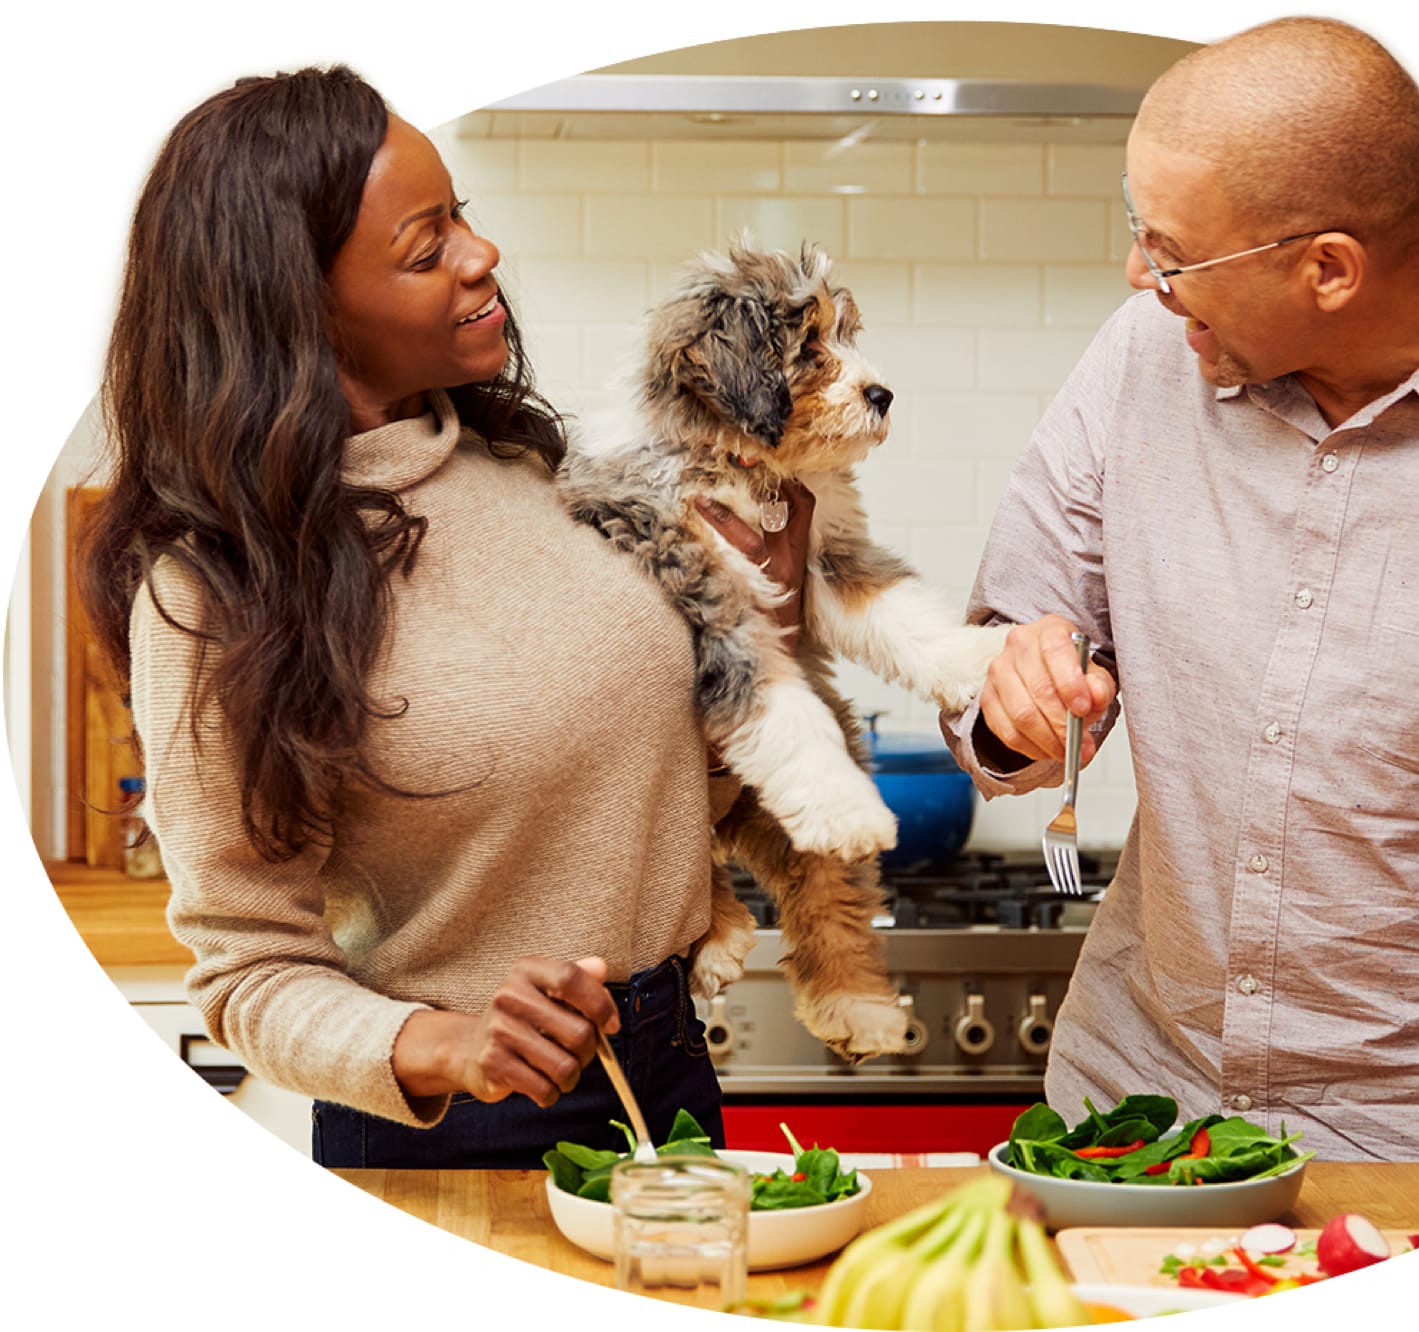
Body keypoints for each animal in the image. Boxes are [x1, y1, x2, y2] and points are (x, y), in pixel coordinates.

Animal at [553, 234, 1010, 1055]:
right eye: (809, 345)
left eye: (846, 333)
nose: (883, 394)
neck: (747, 467)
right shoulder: (712, 598)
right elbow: (782, 709)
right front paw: (845, 805)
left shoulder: (830, 555)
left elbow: (901, 613)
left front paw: (974, 657)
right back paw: (734, 927)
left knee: (828, 894)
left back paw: (854, 1005)